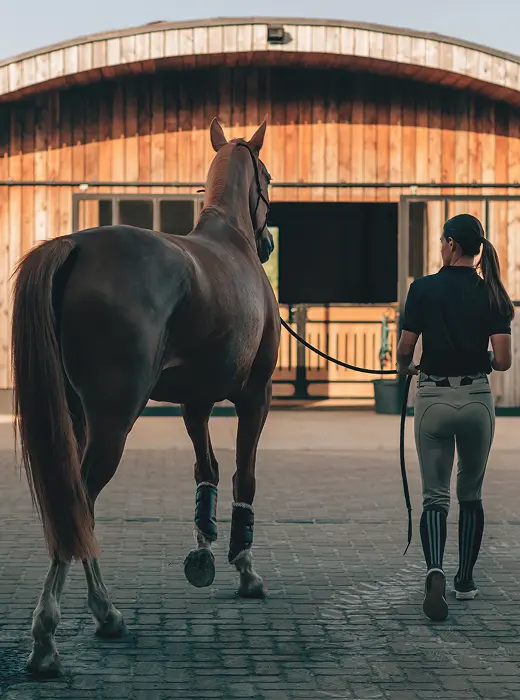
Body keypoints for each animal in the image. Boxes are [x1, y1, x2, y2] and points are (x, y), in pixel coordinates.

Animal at [11, 117, 280, 677]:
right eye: (268, 175)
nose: (268, 241)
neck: (230, 239)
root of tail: (75, 247)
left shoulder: (196, 403)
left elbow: (206, 470)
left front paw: (203, 554)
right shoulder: (255, 396)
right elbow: (243, 476)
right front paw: (245, 569)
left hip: (76, 417)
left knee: (77, 509)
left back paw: (102, 617)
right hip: (113, 421)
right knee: (80, 502)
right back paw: (53, 635)